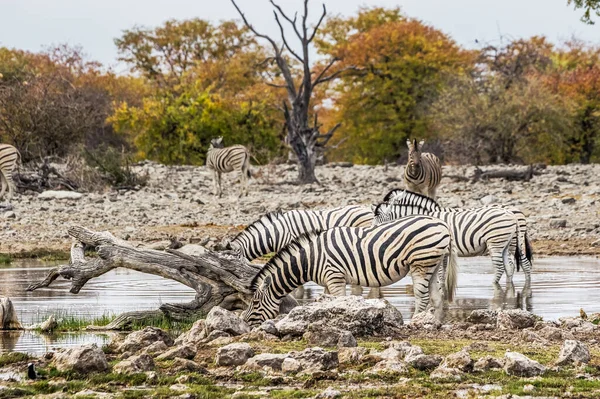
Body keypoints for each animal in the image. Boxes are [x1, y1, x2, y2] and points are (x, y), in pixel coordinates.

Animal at [241, 217, 458, 326]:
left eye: (255, 303)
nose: (245, 323)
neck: (311, 259)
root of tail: (443, 224)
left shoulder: (334, 276)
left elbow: (338, 301)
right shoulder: (327, 281)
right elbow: (326, 302)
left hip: (420, 262)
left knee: (422, 296)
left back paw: (414, 322)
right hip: (433, 263)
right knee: (436, 296)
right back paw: (434, 324)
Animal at [376, 190, 524, 284]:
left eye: (378, 221)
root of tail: (511, 214)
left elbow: (440, 273)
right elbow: (442, 273)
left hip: (496, 243)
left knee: (500, 268)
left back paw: (494, 285)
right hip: (506, 244)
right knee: (509, 267)